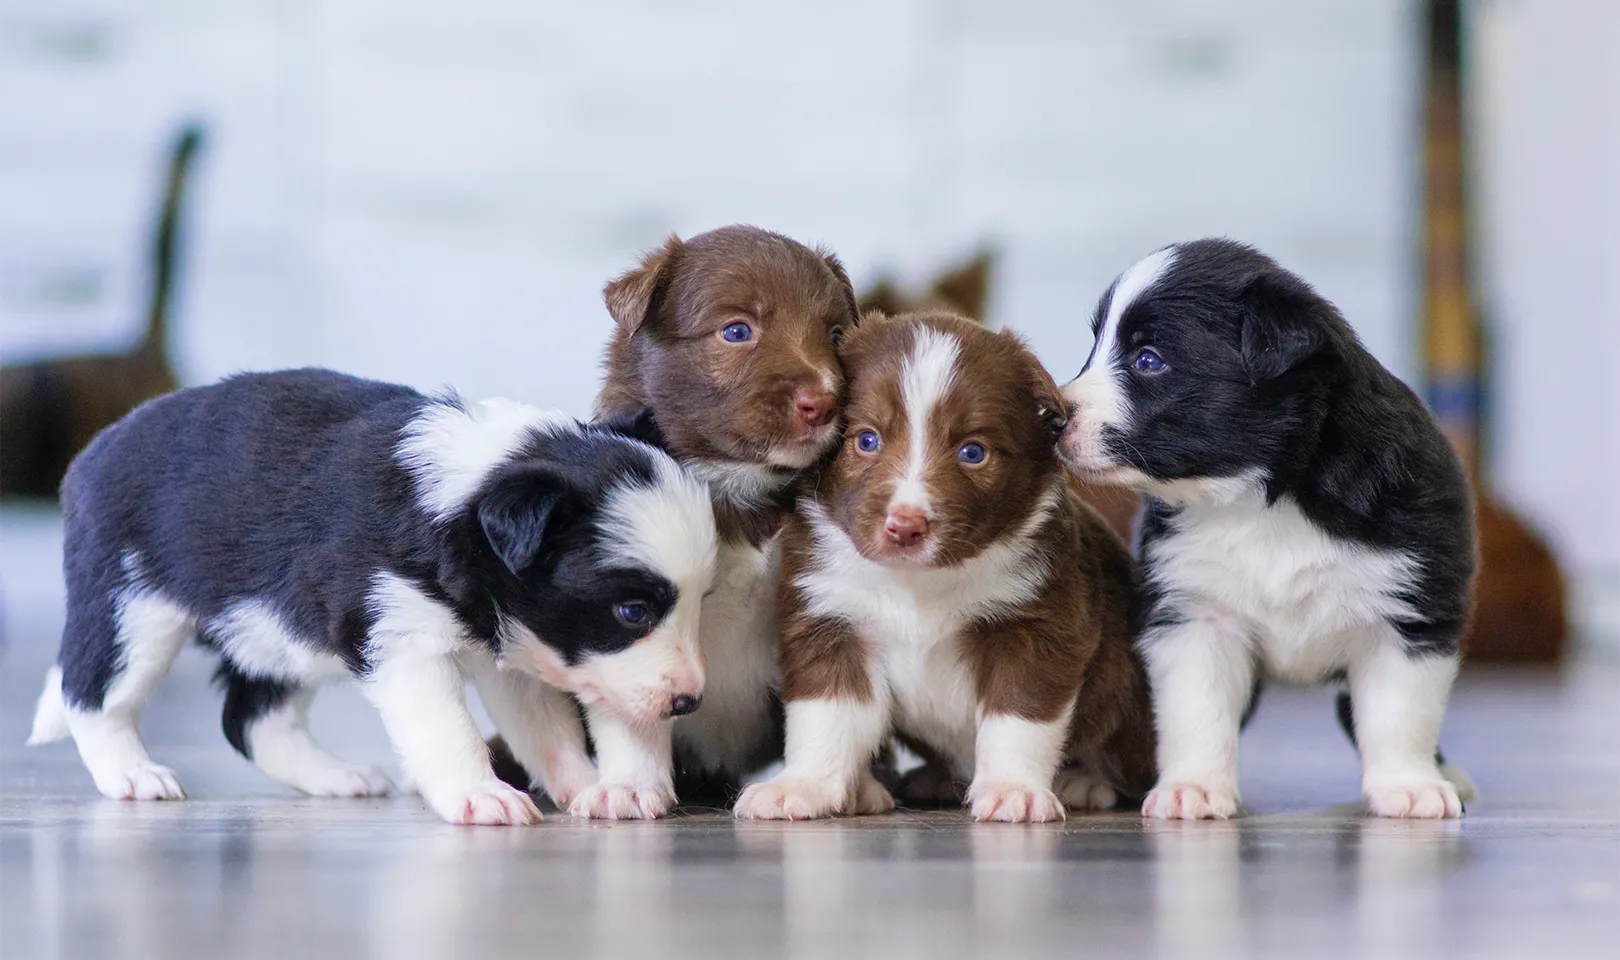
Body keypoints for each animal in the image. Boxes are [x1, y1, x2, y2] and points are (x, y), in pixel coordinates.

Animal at [26, 367, 716, 822]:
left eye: (701, 603)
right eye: (632, 612)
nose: (689, 703)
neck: (468, 500)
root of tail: (93, 450)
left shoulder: (516, 650)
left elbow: (546, 728)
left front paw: (590, 786)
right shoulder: (402, 641)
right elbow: (448, 729)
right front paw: (481, 795)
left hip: (275, 630)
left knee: (252, 719)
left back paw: (335, 776)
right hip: (133, 605)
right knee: (94, 694)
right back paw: (133, 774)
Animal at [741, 310, 1159, 819]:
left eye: (972, 452)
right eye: (866, 440)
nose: (905, 526)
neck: (919, 582)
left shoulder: (1036, 625)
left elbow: (1017, 719)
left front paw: (1012, 790)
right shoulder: (829, 619)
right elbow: (824, 714)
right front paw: (800, 786)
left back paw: (1084, 782)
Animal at [1056, 239, 1477, 815]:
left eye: (1149, 360)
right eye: (1094, 346)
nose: (1053, 416)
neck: (1259, 499)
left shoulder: (1409, 613)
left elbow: (1398, 713)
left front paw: (1408, 786)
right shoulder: (1195, 615)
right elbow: (1197, 711)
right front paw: (1193, 787)